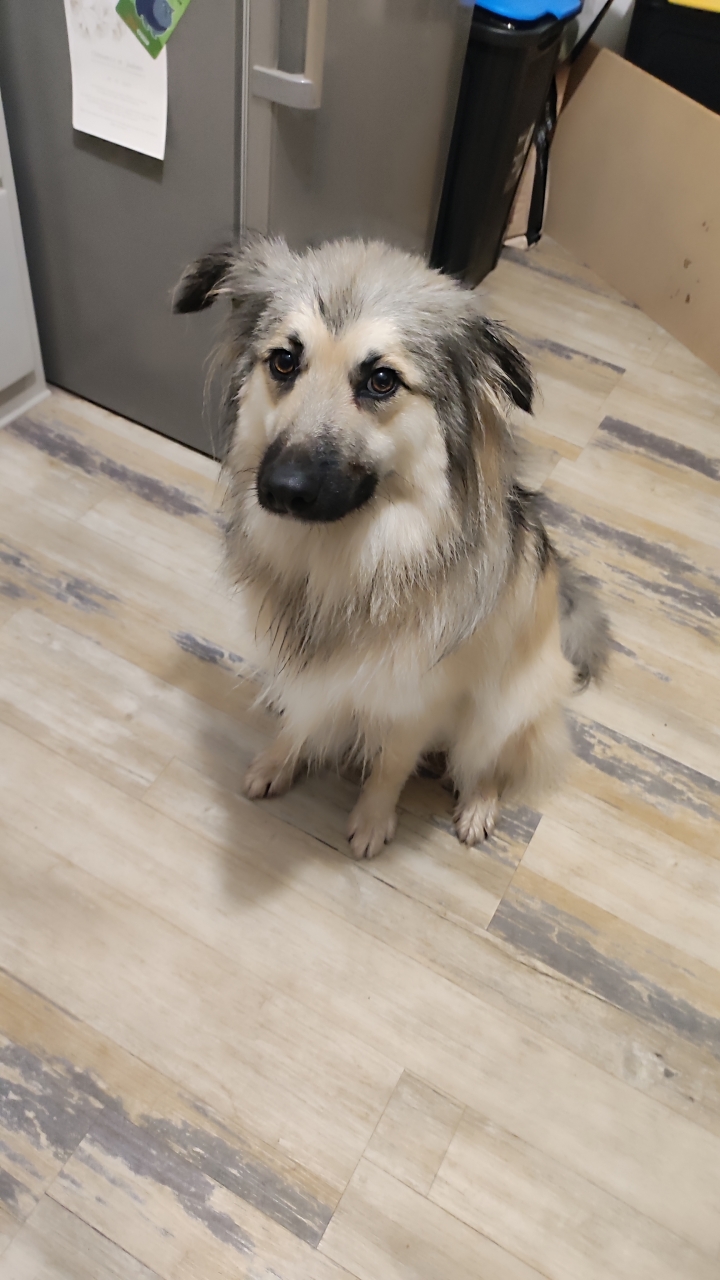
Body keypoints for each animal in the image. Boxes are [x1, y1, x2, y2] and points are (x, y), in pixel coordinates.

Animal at [174, 237, 609, 858]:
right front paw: (280, 762)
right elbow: (300, 719)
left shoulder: (419, 700)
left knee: (494, 762)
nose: (280, 489)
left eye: (381, 379)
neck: (350, 552)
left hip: (504, 709)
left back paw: (478, 804)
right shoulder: (308, 670)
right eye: (284, 361)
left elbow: (391, 765)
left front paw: (373, 820)